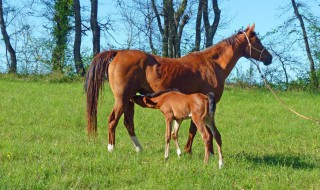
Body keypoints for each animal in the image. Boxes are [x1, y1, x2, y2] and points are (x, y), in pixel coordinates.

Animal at [85, 23, 272, 157]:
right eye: (257, 41)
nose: (269, 58)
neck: (212, 64)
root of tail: (118, 53)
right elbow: (195, 130)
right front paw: (198, 152)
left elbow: (195, 129)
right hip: (122, 99)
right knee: (113, 120)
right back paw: (111, 148)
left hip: (130, 99)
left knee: (128, 123)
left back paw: (139, 149)